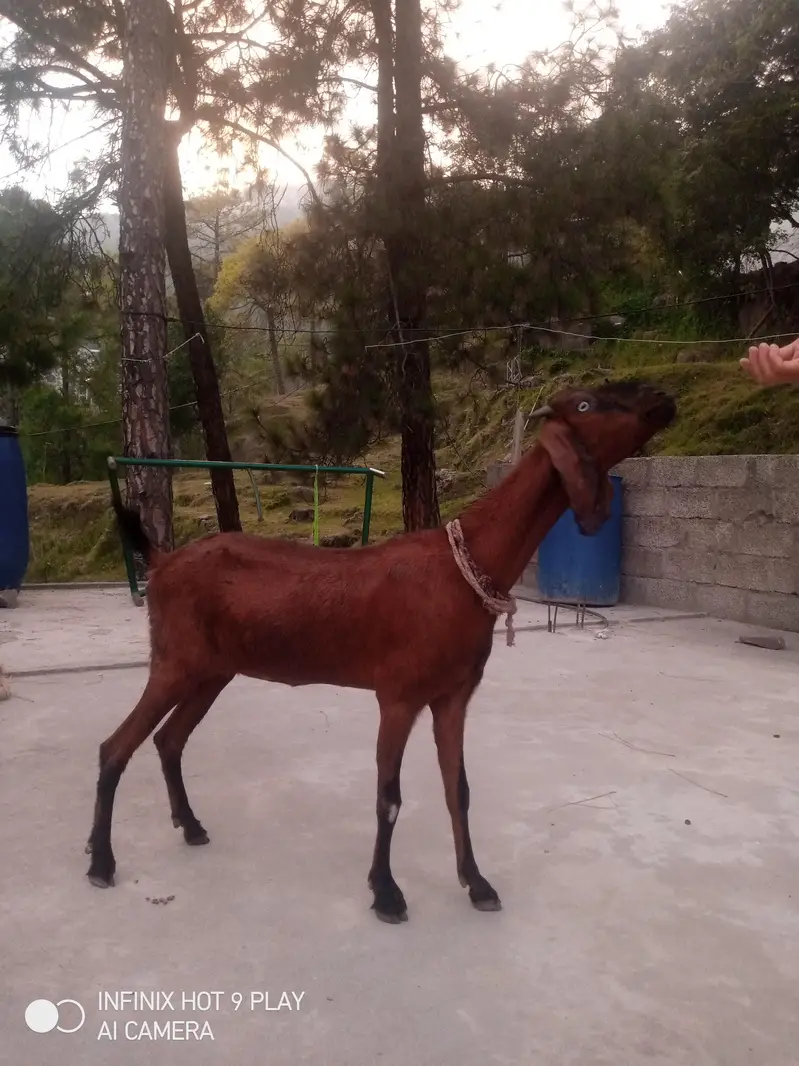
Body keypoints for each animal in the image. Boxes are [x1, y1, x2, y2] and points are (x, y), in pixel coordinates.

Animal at [86, 380, 676, 922]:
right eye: (586, 404)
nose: (661, 399)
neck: (461, 571)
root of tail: (161, 561)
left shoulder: (453, 696)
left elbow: (458, 788)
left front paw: (476, 882)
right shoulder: (398, 695)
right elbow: (388, 797)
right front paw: (387, 892)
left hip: (213, 670)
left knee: (168, 741)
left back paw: (189, 826)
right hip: (175, 661)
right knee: (115, 746)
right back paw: (100, 861)